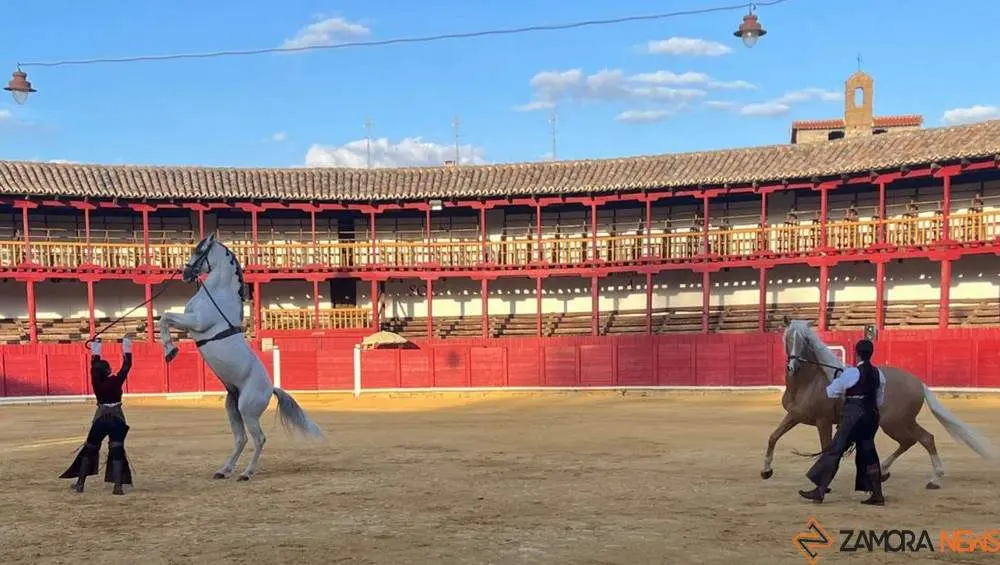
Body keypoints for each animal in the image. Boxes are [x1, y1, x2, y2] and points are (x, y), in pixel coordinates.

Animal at [159, 232, 324, 481]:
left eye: (200, 251)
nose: (185, 274)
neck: (218, 295)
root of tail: (270, 388)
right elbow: (166, 318)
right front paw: (170, 349)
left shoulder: (197, 322)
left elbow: (165, 317)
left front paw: (171, 350)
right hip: (233, 407)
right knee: (241, 438)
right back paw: (223, 470)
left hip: (248, 410)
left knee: (259, 438)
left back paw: (246, 473)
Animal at [761, 317, 995, 489]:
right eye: (788, 338)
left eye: (805, 341)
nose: (793, 366)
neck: (808, 383)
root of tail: (918, 383)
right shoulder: (794, 416)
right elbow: (773, 437)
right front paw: (766, 471)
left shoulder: (823, 421)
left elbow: (826, 448)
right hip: (901, 422)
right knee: (919, 439)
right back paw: (894, 473)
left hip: (894, 423)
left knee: (919, 439)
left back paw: (929, 477)